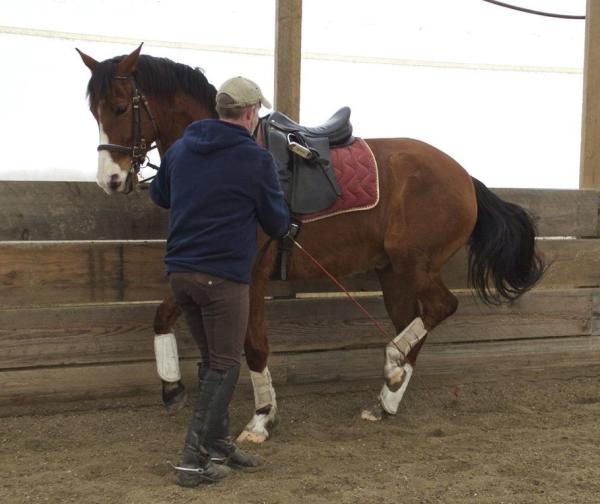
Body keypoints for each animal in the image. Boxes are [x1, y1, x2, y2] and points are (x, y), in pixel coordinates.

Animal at [77, 44, 548, 440]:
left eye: (120, 107)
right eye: (94, 112)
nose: (110, 179)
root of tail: (463, 177)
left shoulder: (251, 275)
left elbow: (254, 346)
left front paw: (261, 418)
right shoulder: (208, 269)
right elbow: (162, 316)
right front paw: (173, 387)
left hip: (414, 264)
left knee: (440, 308)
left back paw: (392, 366)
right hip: (393, 274)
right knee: (414, 326)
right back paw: (387, 397)